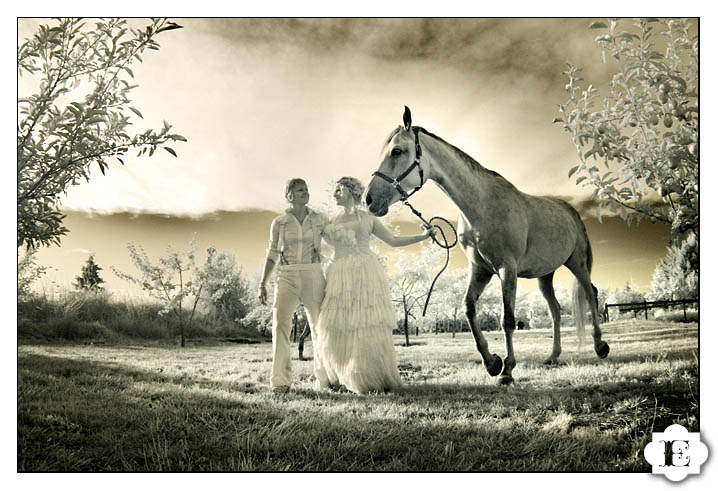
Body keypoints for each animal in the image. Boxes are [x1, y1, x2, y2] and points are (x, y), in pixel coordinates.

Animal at [368, 106, 612, 384]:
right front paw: (492, 362)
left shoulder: (507, 268)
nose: (369, 199)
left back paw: (600, 346)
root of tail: (571, 212)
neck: (483, 205)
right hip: (545, 276)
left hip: (577, 263)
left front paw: (507, 370)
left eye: (397, 151)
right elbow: (469, 309)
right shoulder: (480, 269)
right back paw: (553, 356)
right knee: (556, 310)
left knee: (591, 295)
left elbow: (507, 319)